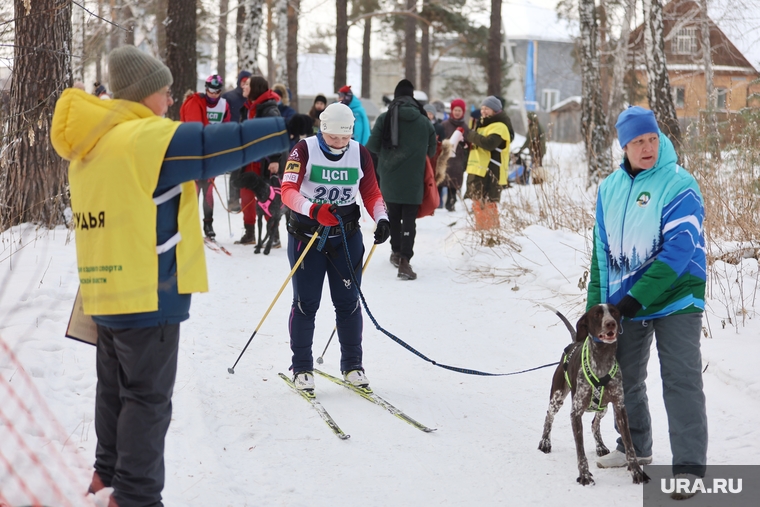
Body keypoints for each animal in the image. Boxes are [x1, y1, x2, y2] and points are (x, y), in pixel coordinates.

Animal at [537, 304, 649, 486]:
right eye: (596, 314)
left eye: (615, 312)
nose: (611, 323)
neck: (602, 360)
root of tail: (574, 342)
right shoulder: (576, 413)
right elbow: (580, 451)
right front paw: (584, 475)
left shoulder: (619, 408)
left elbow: (630, 446)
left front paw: (637, 472)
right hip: (557, 397)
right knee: (549, 416)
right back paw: (545, 442)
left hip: (603, 408)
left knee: (594, 424)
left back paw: (600, 446)